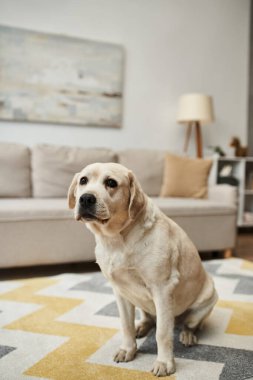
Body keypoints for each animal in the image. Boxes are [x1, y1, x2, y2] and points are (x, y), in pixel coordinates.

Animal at [67, 162, 217, 376]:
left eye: (111, 183)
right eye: (83, 180)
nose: (86, 198)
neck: (116, 240)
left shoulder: (162, 289)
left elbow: (163, 332)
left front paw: (164, 363)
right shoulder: (120, 291)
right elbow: (126, 325)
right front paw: (128, 350)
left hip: (207, 299)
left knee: (189, 325)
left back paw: (187, 335)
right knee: (148, 319)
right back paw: (141, 327)